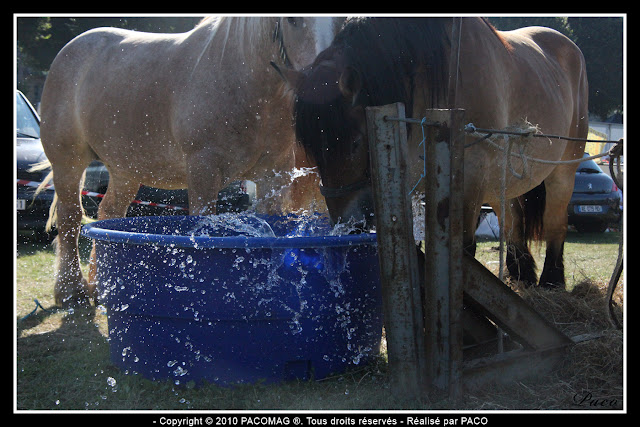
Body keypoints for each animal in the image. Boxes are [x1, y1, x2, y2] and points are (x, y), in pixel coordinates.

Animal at [40, 15, 344, 304]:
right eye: (292, 20)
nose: (323, 86)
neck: (242, 80)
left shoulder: (274, 175)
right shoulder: (203, 171)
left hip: (125, 170)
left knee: (108, 213)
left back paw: (98, 286)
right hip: (68, 161)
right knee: (70, 217)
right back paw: (70, 290)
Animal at [278, 18, 588, 290]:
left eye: (354, 143)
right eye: (311, 150)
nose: (349, 226)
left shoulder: (471, 179)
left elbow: (464, 248)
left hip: (563, 172)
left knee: (556, 223)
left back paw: (552, 280)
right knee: (512, 221)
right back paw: (522, 275)